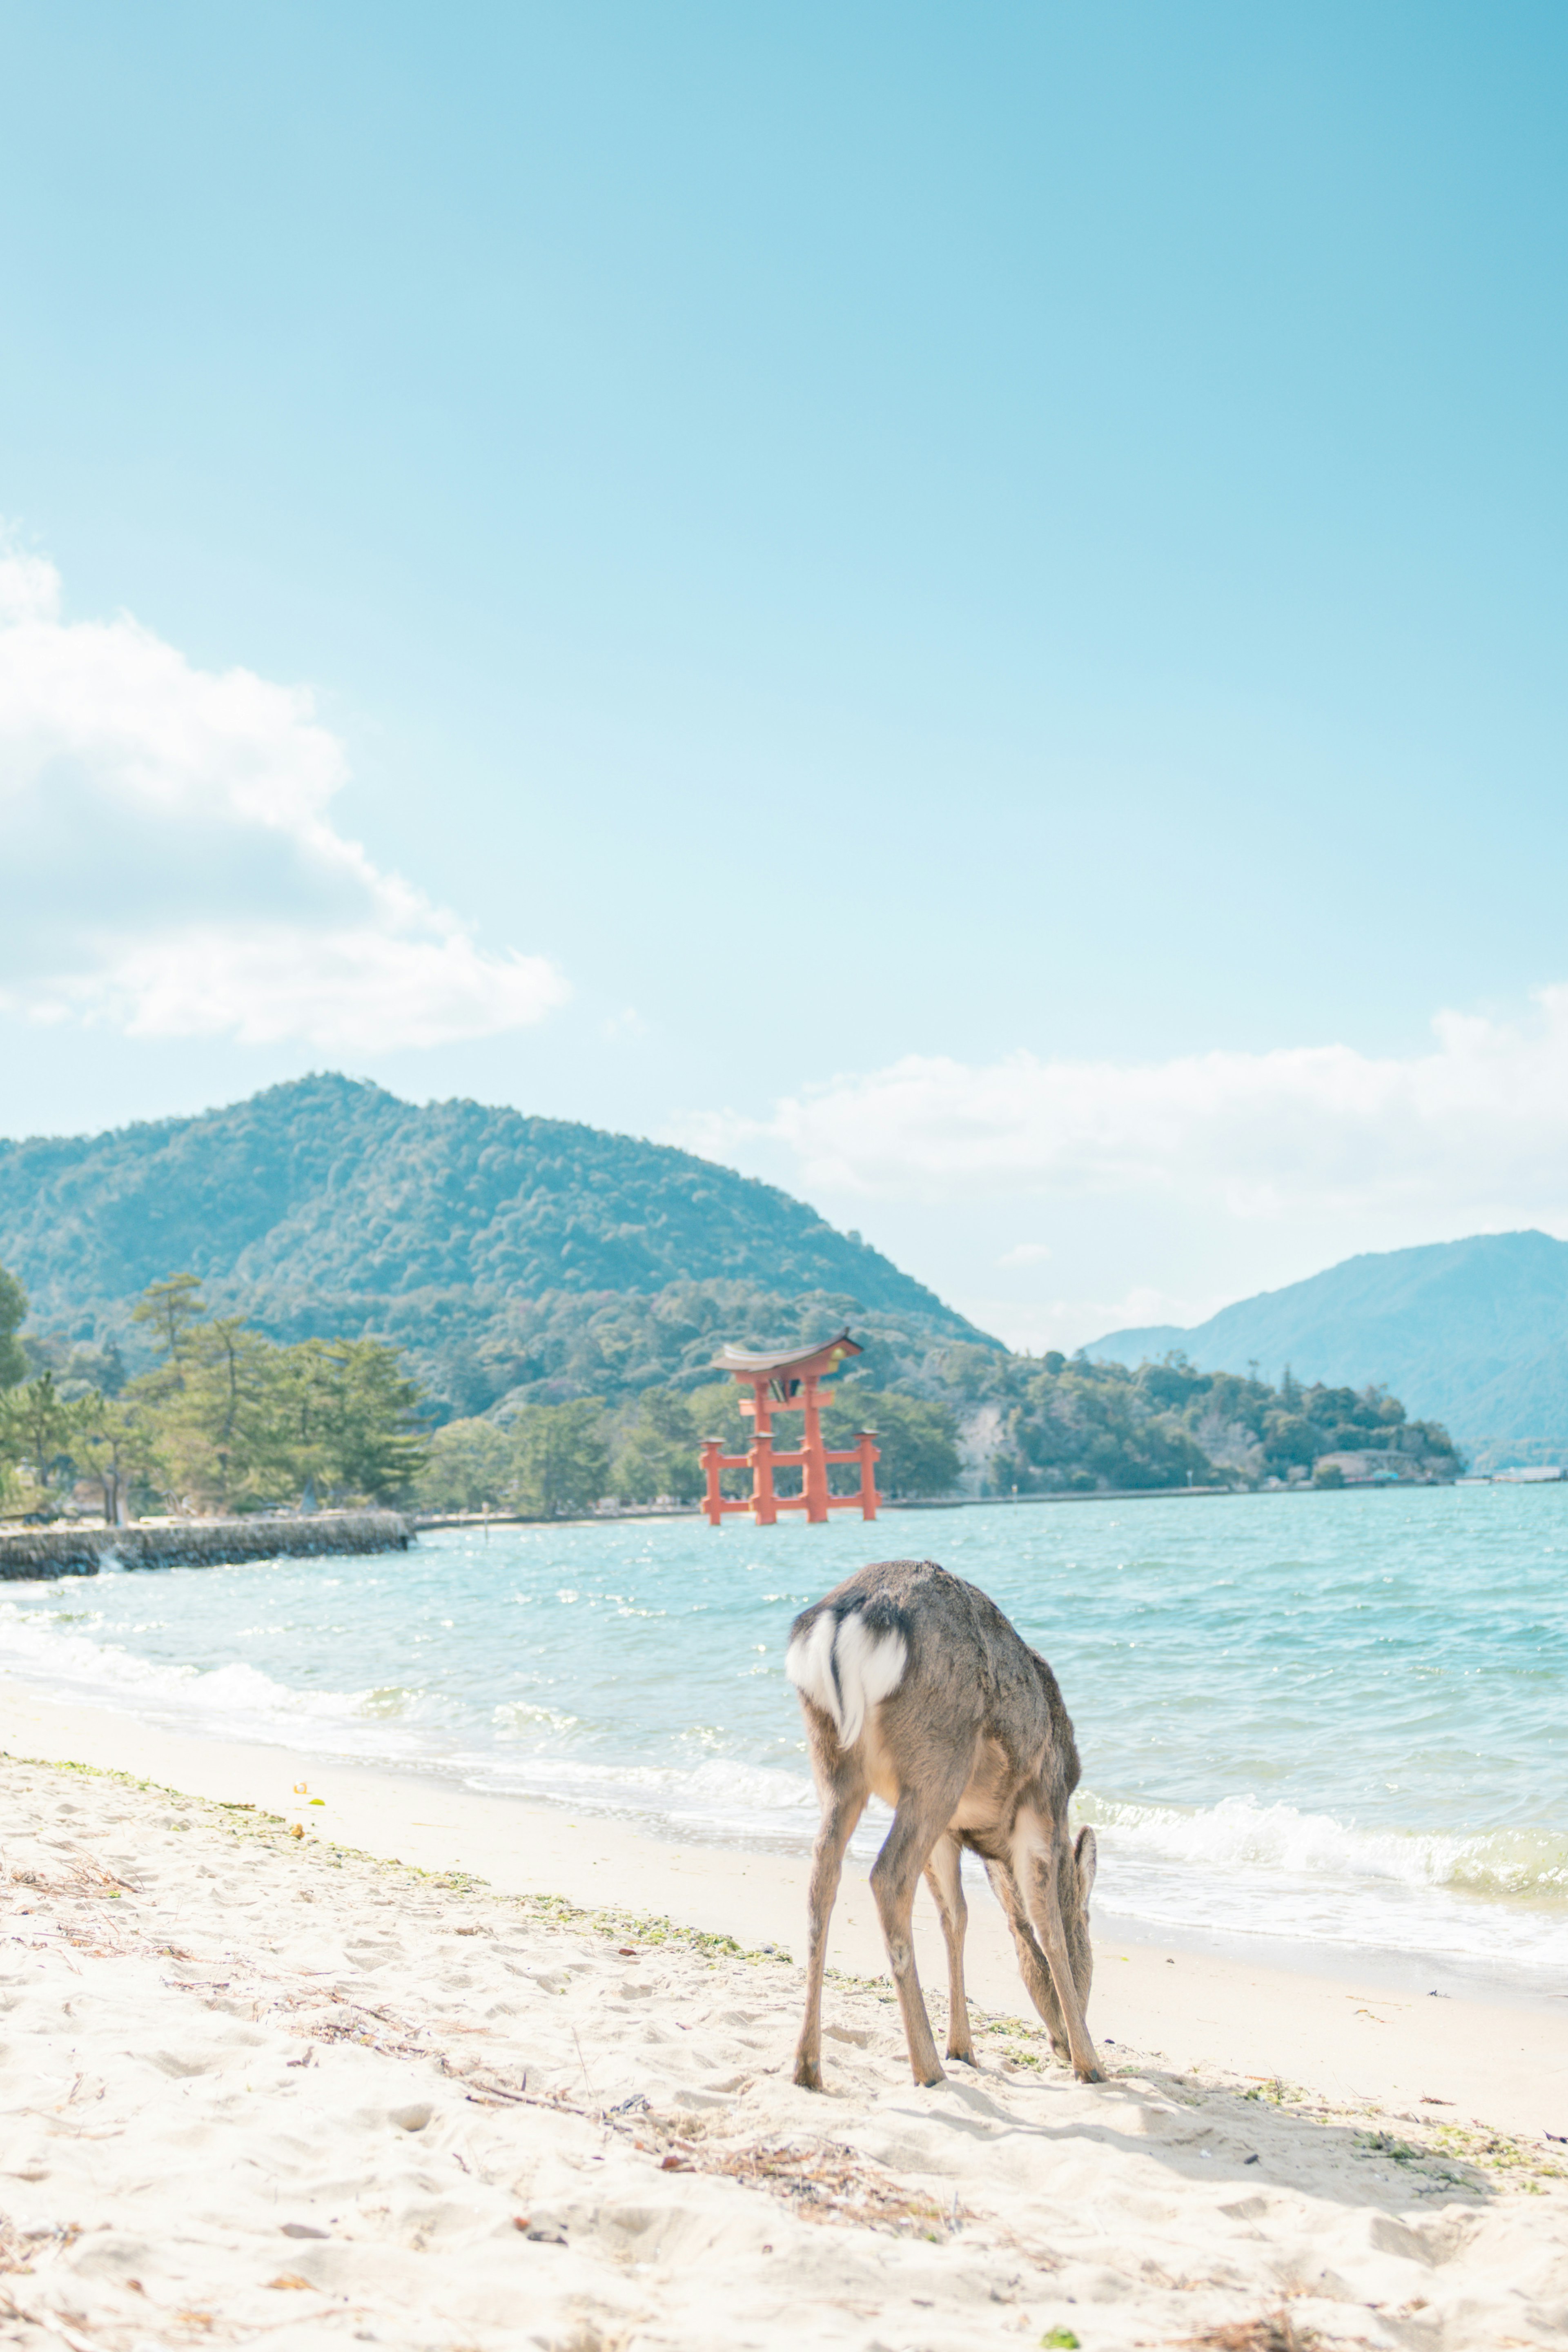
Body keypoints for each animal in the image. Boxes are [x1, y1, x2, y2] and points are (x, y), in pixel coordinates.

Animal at [785, 1561, 1105, 2098]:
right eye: (1092, 1943)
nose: (1061, 2042)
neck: (992, 1842)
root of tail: (844, 1619)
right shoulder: (1042, 1805)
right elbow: (1048, 1928)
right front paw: (1092, 2065)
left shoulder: (951, 1833)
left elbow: (957, 1917)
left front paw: (964, 2048)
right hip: (938, 1759)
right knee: (887, 1875)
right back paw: (927, 2067)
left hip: (835, 1761)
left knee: (821, 1875)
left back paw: (808, 2067)